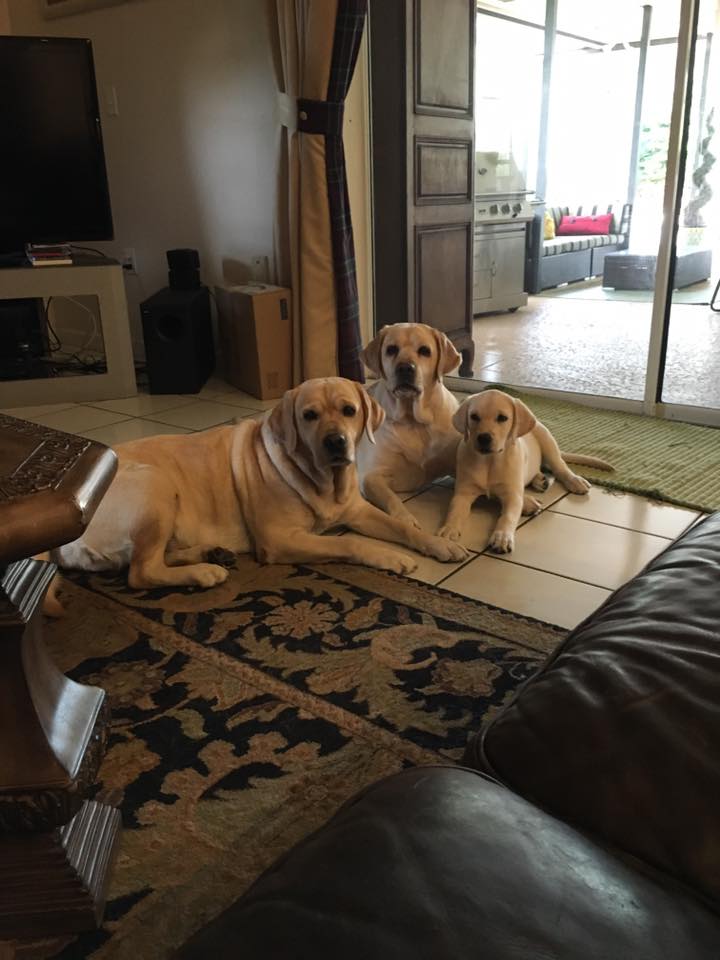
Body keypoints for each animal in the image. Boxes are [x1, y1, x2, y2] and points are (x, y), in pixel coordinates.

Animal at [53, 374, 470, 584]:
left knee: (153, 557)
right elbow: (349, 543)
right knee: (141, 572)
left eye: (349, 411)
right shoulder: (279, 540)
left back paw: (210, 553)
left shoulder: (356, 509)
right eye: (309, 415)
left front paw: (439, 544)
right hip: (155, 485)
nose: (336, 443)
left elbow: (403, 527)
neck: (321, 481)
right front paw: (390, 557)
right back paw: (205, 572)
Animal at [358, 326, 462, 528]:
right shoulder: (371, 477)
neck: (413, 421)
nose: (405, 368)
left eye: (424, 351)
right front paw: (406, 519)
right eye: (391, 349)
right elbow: (392, 499)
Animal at [438, 390, 612, 556]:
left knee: (560, 466)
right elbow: (455, 511)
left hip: (547, 439)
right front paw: (448, 530)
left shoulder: (512, 495)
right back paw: (540, 481)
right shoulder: (463, 493)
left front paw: (502, 537)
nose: (484, 438)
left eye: (502, 418)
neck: (489, 461)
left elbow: (508, 516)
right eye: (474, 416)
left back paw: (574, 481)